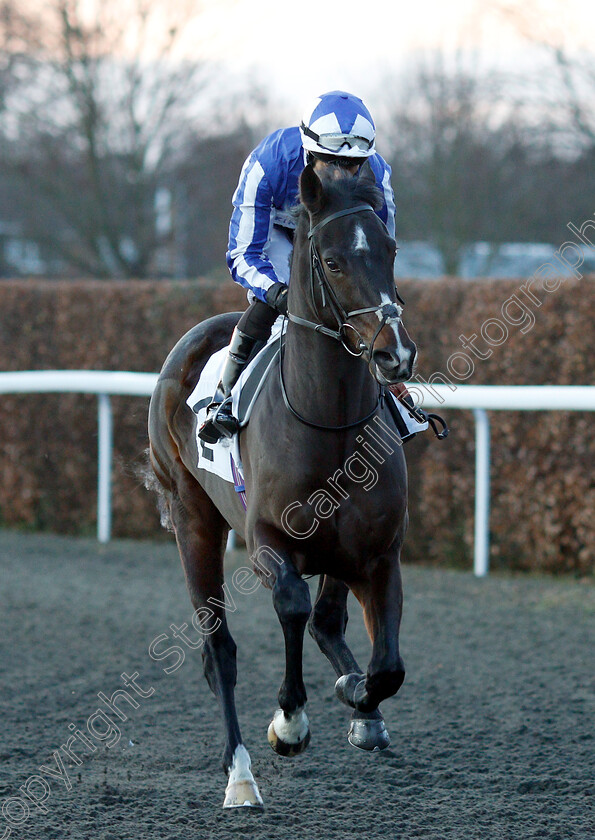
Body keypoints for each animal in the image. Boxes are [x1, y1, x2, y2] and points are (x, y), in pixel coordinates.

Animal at [148, 161, 420, 812]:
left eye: (392, 250)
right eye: (333, 261)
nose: (395, 355)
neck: (329, 422)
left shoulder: (378, 553)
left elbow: (387, 665)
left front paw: (359, 699)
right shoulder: (268, 540)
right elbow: (291, 606)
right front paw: (290, 722)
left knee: (328, 623)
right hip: (193, 520)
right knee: (220, 651)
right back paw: (241, 776)